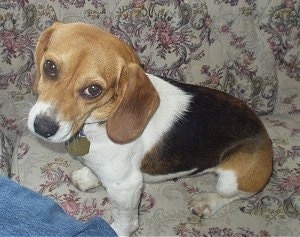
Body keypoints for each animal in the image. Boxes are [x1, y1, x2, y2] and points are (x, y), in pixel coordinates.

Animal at [27, 21, 272, 235]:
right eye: (49, 67)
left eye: (94, 90)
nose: (43, 127)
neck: (101, 122)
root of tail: (264, 133)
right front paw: (89, 177)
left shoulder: (127, 187)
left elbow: (124, 219)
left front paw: (115, 231)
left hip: (230, 180)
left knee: (234, 195)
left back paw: (207, 201)